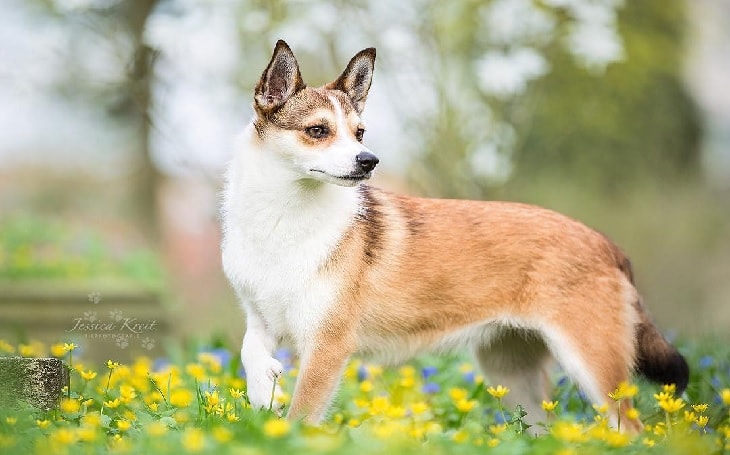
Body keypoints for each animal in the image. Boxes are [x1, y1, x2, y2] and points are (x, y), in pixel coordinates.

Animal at [219, 39, 684, 432]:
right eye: (317, 130)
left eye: (359, 133)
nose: (369, 161)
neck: (283, 220)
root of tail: (605, 243)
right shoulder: (261, 318)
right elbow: (248, 350)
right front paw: (263, 387)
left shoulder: (328, 346)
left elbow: (301, 417)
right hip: (511, 374)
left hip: (592, 366)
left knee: (631, 429)